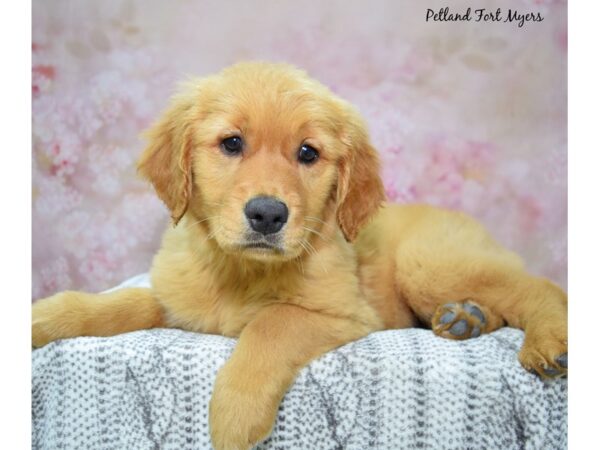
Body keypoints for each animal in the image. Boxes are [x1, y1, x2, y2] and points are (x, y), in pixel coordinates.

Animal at [32, 62, 568, 450]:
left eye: (308, 153)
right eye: (231, 143)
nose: (268, 214)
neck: (243, 270)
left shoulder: (344, 313)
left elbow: (271, 324)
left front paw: (234, 414)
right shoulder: (175, 303)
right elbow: (121, 304)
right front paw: (46, 317)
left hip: (429, 262)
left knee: (537, 286)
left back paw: (546, 341)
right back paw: (465, 318)